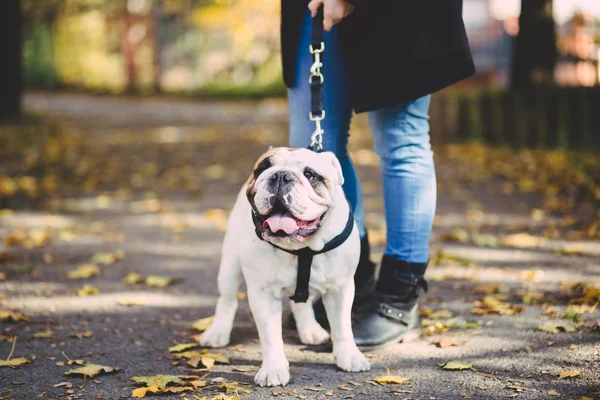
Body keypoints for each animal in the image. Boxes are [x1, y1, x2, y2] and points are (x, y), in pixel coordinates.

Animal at [200, 148, 370, 388]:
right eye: (262, 168)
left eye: (310, 174)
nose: (280, 176)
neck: (302, 249)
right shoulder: (263, 294)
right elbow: (271, 337)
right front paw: (273, 369)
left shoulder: (340, 289)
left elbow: (342, 327)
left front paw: (350, 356)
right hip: (230, 265)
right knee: (227, 300)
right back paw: (217, 333)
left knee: (301, 304)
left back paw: (310, 330)